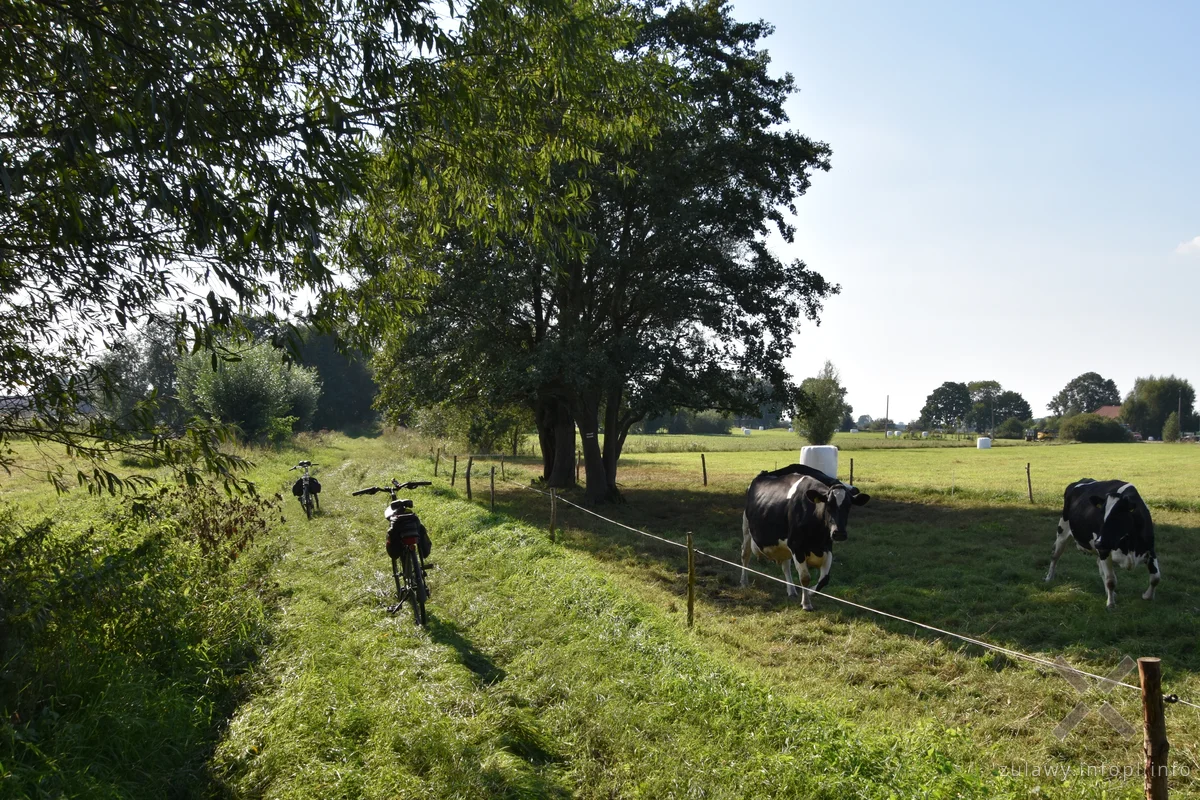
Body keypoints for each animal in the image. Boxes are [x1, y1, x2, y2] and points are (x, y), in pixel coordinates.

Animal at [739, 465, 873, 609]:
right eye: (828, 505)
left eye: (848, 506)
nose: (839, 533)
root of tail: (763, 474)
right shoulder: (796, 546)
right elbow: (805, 578)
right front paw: (806, 603)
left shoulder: (826, 547)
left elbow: (825, 579)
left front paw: (810, 592)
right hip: (746, 528)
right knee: (745, 555)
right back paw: (744, 582)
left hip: (784, 545)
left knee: (786, 565)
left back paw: (791, 590)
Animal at [1046, 479, 1156, 609]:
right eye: (1101, 513)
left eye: (1118, 515)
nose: (1098, 542)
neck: (1129, 545)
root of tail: (1080, 481)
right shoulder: (1104, 551)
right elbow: (1111, 581)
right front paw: (1111, 604)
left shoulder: (1150, 549)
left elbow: (1155, 578)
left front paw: (1147, 596)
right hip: (1062, 532)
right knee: (1055, 556)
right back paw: (1049, 578)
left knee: (1100, 568)